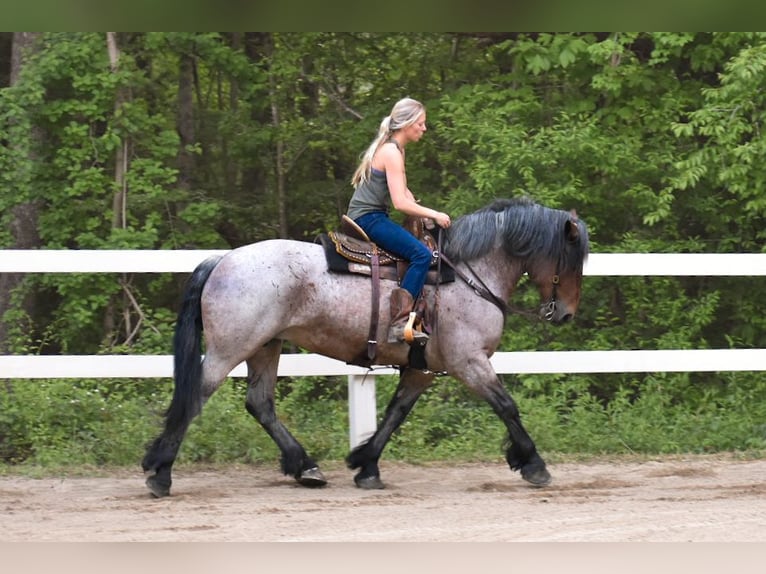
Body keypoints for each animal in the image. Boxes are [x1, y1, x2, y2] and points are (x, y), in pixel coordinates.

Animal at [142, 196, 588, 498]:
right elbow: (507, 406)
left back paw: (306, 467)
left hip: (266, 345)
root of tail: (222, 260)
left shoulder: (423, 368)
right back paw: (160, 473)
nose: (566, 313)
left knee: (260, 403)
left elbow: (395, 414)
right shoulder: (469, 362)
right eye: (570, 259)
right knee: (196, 395)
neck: (466, 274)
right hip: (231, 347)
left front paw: (366, 465)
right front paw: (534, 463)